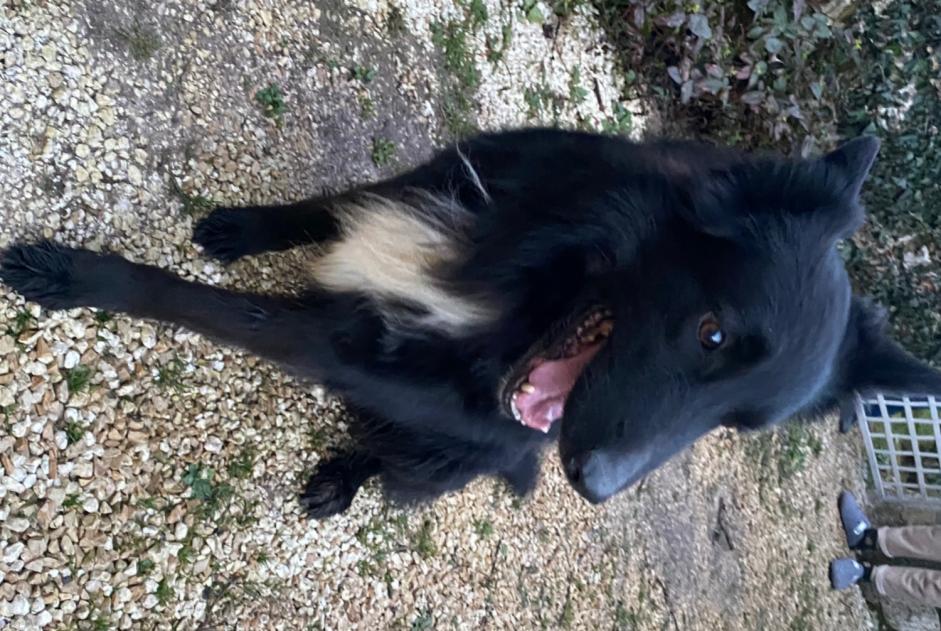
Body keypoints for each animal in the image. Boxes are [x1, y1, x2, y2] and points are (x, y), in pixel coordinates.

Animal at [1, 130, 940, 520]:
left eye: (734, 429)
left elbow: (218, 307)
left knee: (394, 459)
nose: (593, 486)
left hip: (441, 456)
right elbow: (329, 206)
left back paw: (344, 476)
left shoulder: (348, 352)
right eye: (710, 332)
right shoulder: (446, 179)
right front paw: (245, 228)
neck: (523, 282)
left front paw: (71, 276)